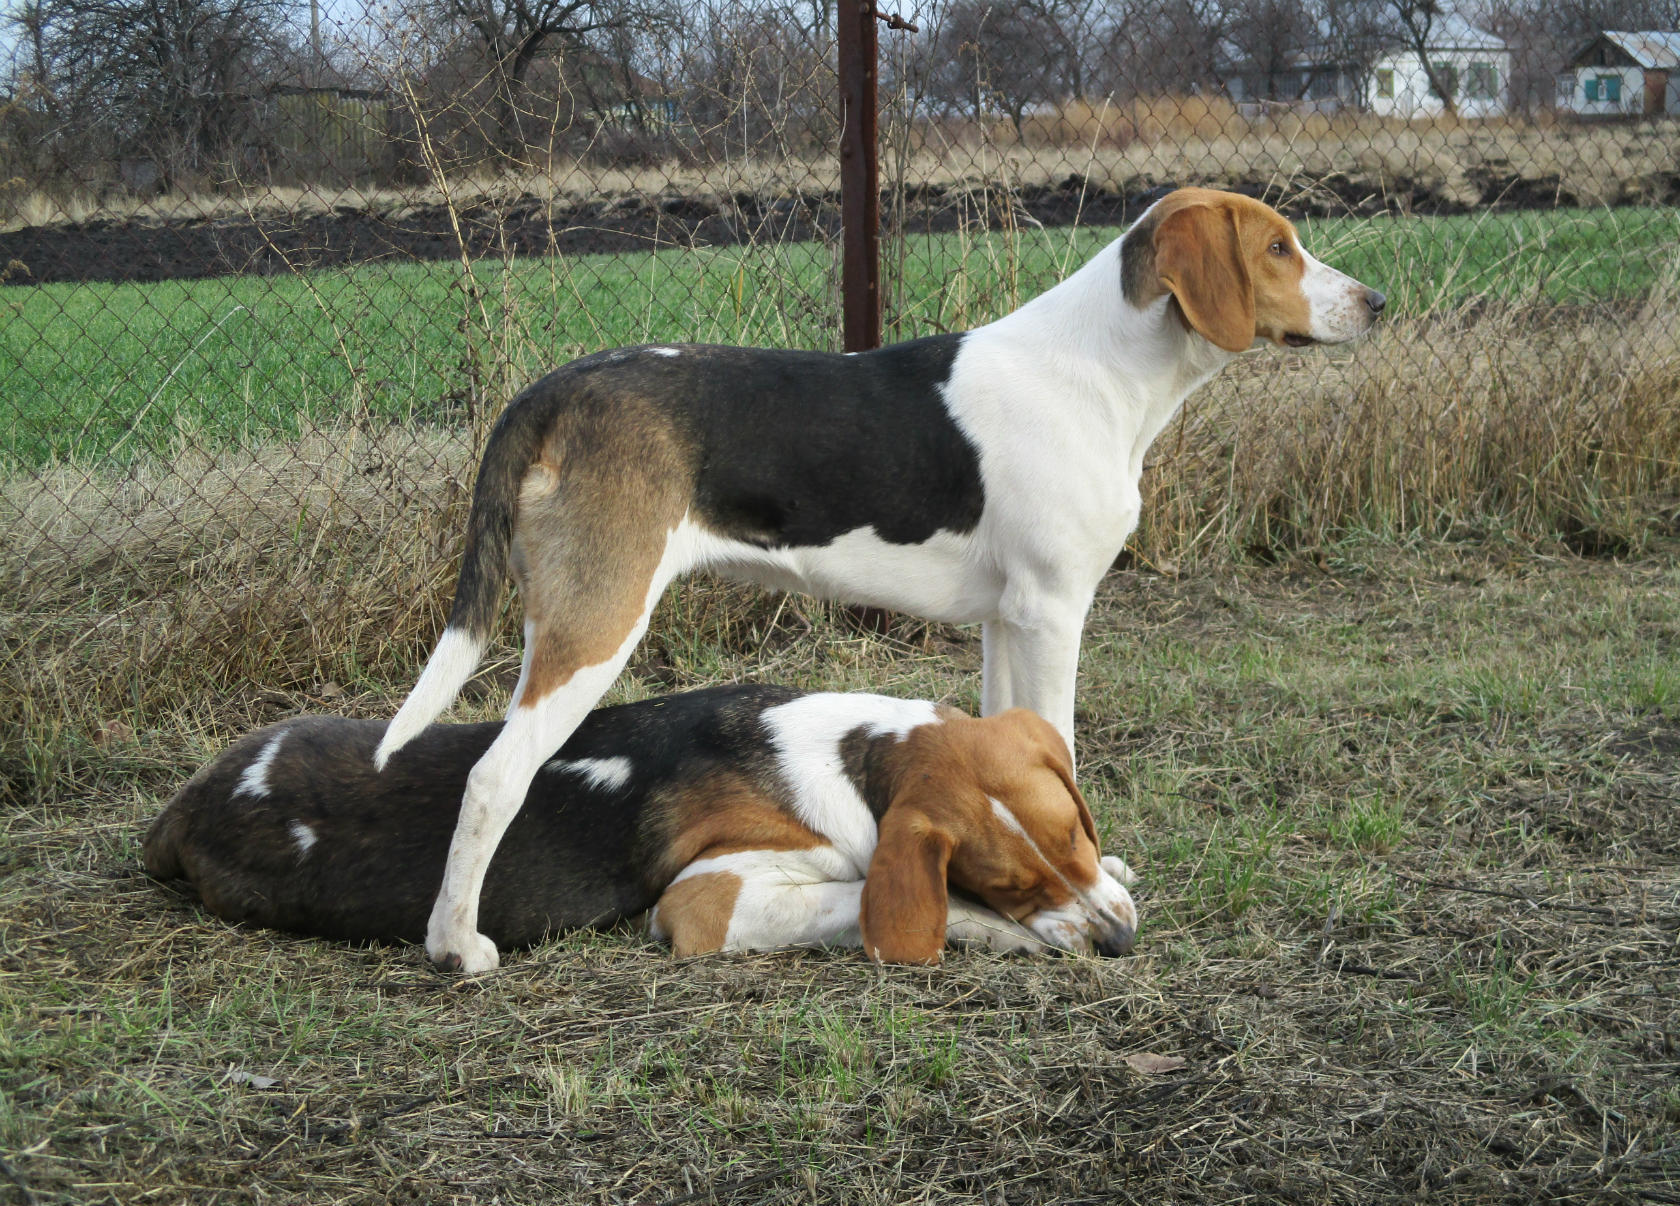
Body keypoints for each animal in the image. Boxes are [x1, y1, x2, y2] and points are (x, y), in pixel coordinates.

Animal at [147, 685, 1142, 967]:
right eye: (1006, 885)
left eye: (1078, 837)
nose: (1120, 943)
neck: (853, 753)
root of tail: (188, 801)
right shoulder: (708, 900)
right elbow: (864, 897)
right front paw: (997, 932)